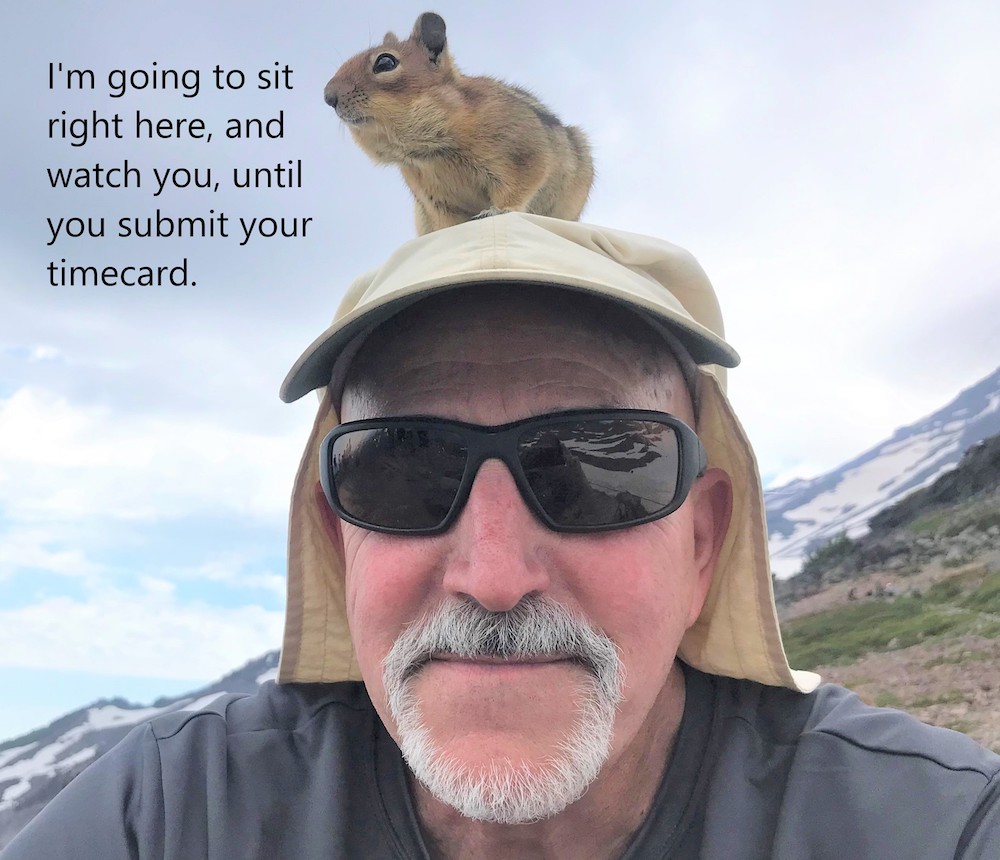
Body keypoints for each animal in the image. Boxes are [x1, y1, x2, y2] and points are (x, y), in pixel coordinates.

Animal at [323, 12, 594, 235]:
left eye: (386, 62)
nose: (328, 97)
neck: (432, 149)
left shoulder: (524, 152)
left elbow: (520, 185)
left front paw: (496, 210)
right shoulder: (435, 200)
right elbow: (446, 224)